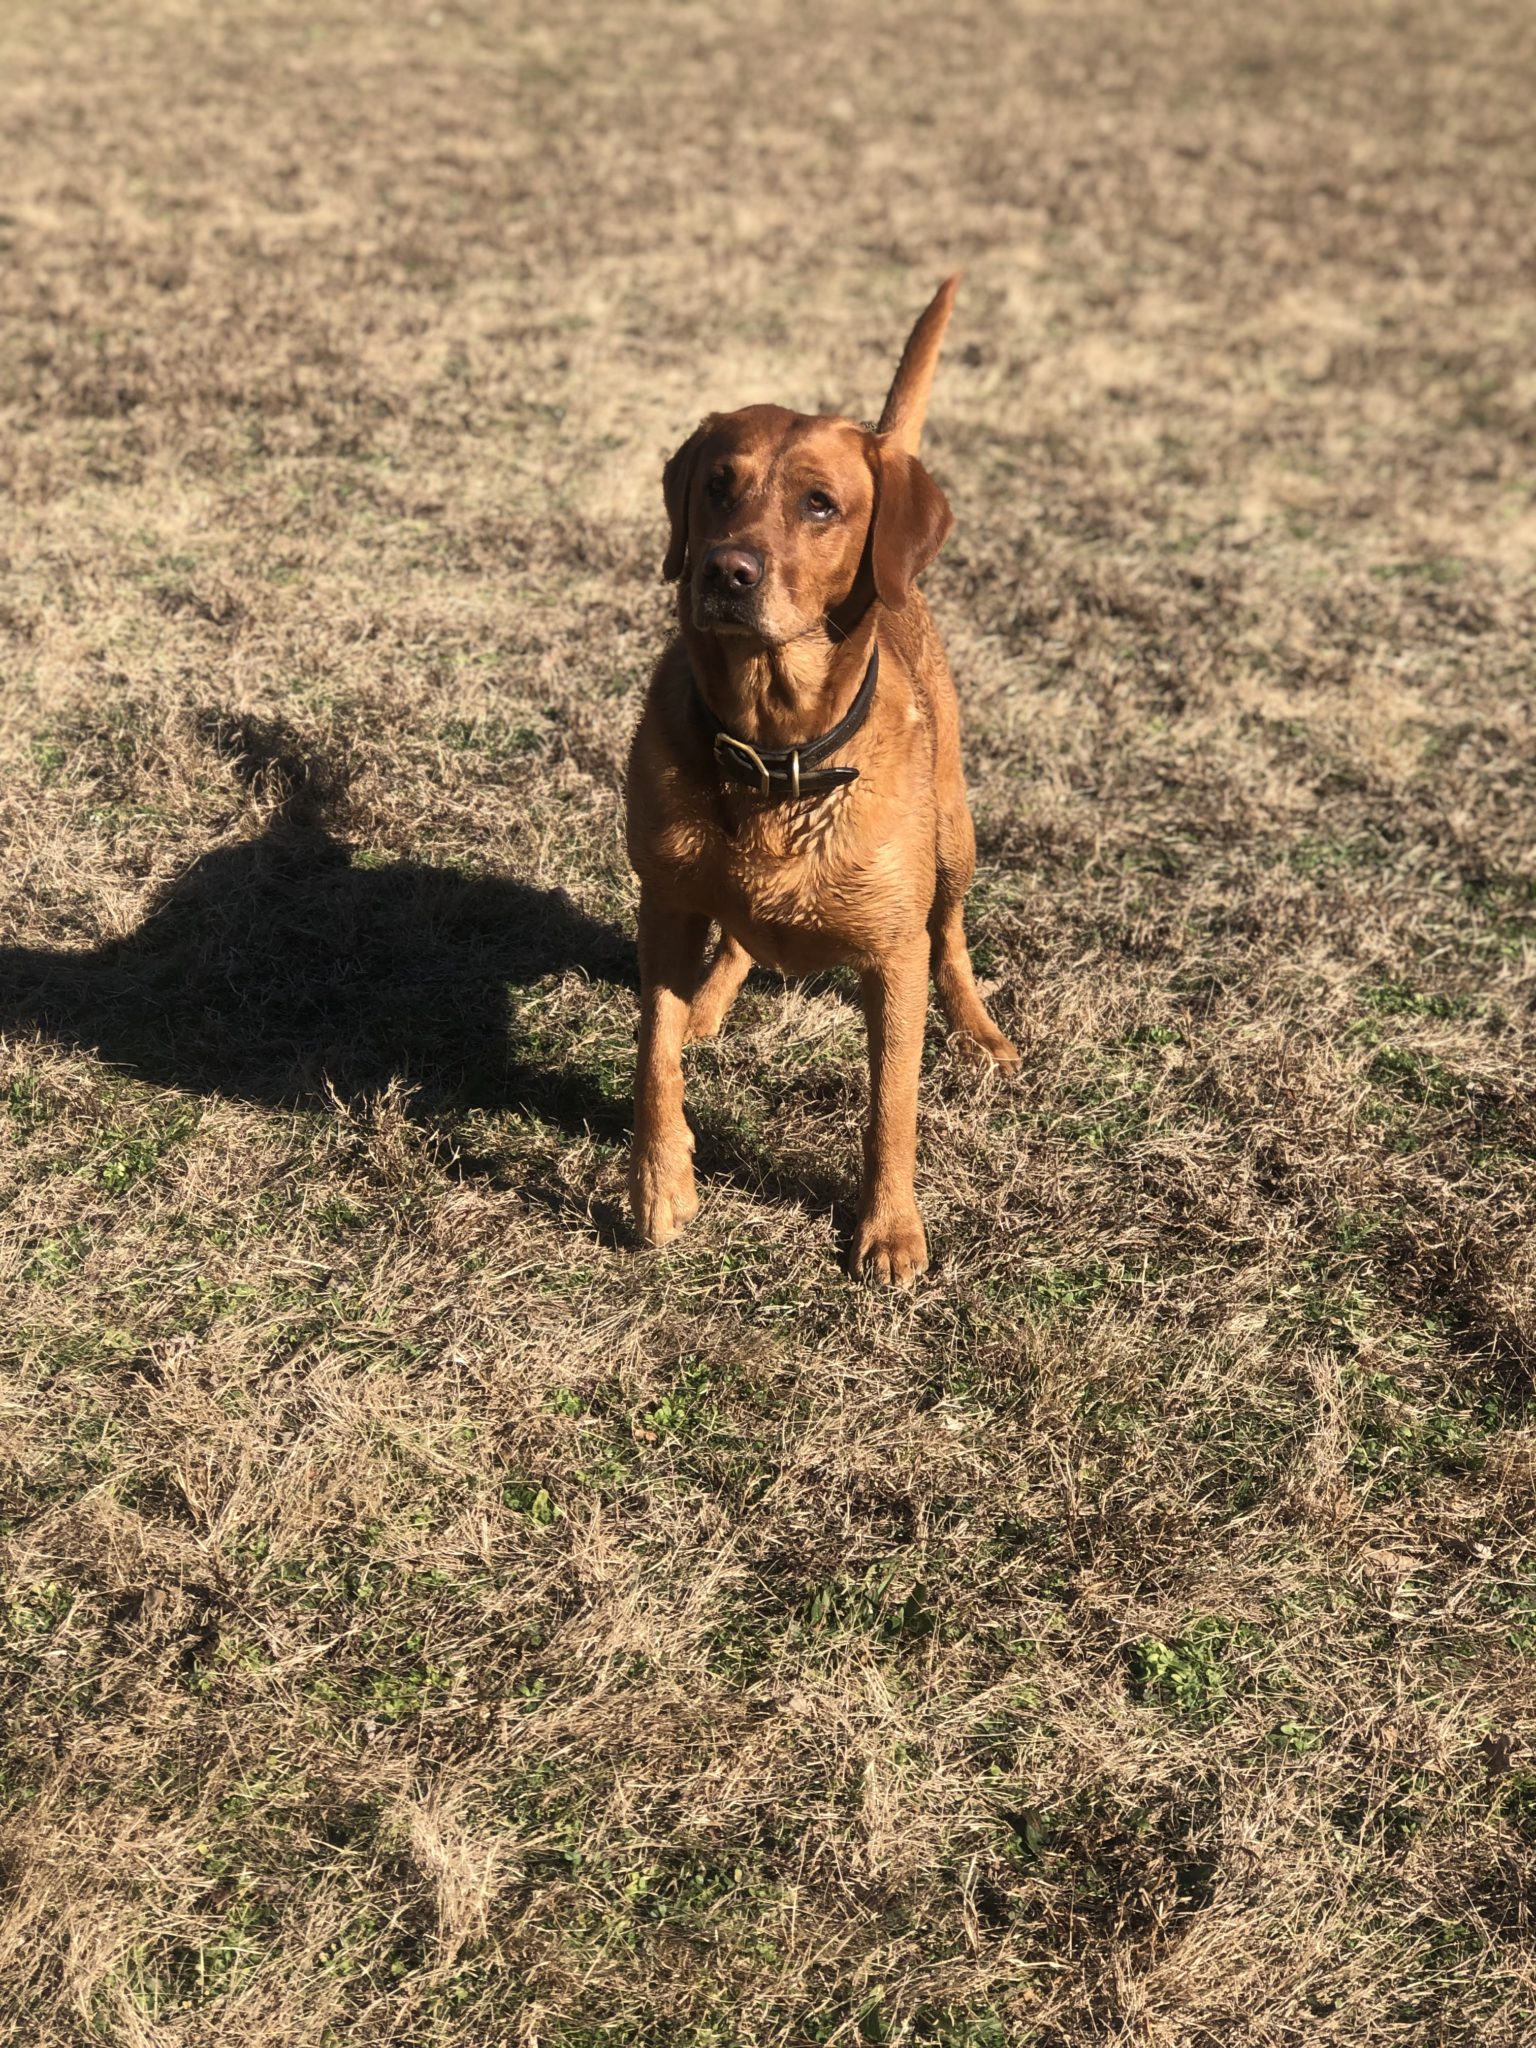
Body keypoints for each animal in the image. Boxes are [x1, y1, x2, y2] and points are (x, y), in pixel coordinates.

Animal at [618, 280, 1015, 1286]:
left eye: (821, 506)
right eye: (717, 485)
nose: (724, 570)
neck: (774, 748)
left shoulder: (892, 960)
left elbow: (891, 1107)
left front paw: (890, 1229)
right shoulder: (663, 902)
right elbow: (652, 1052)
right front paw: (660, 1184)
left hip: (956, 838)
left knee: (954, 937)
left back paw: (981, 1032)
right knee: (736, 941)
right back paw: (712, 1002)